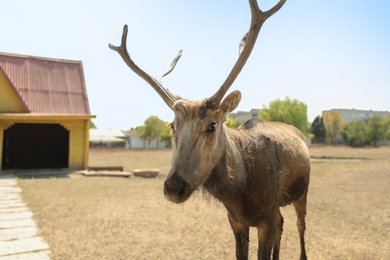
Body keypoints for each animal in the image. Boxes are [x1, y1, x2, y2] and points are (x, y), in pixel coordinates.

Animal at [108, 0, 310, 260]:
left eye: (211, 125)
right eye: (172, 125)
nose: (173, 187)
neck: (241, 192)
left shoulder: (266, 216)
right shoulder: (236, 220)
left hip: (302, 190)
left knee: (300, 224)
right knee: (283, 223)